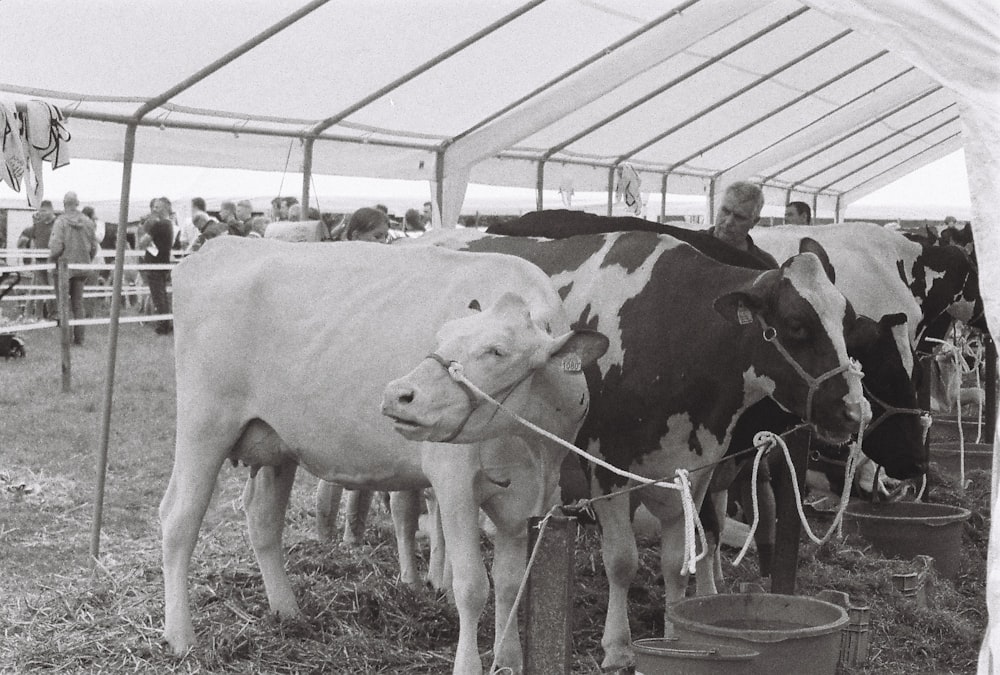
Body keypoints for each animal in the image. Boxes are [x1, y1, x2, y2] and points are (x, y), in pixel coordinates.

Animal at [160, 239, 604, 675]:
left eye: (497, 351)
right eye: (440, 337)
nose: (397, 393)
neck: (529, 445)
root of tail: (219, 247)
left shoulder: (529, 499)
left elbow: (512, 582)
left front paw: (508, 659)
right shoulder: (454, 481)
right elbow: (473, 585)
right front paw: (469, 664)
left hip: (276, 442)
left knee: (263, 518)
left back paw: (288, 612)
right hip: (205, 425)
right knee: (179, 519)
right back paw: (181, 638)